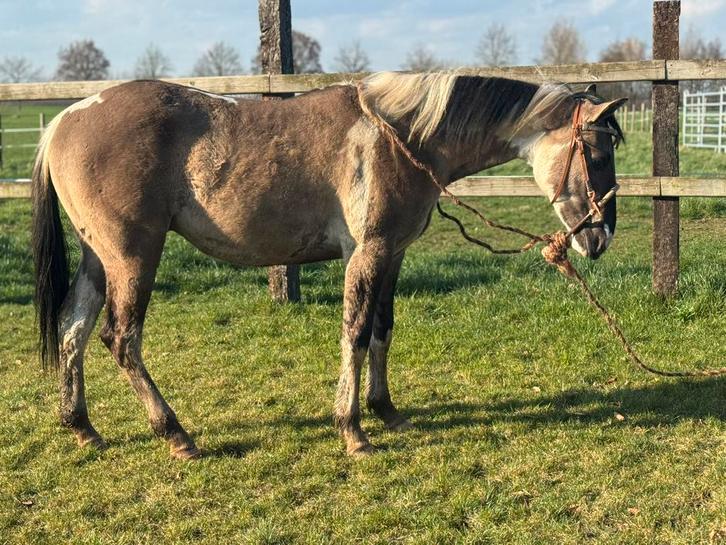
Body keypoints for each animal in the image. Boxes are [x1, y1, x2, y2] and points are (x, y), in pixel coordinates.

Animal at [31, 72, 626, 458]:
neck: (401, 137)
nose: (599, 237)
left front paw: (386, 411)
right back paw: (175, 434)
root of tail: (64, 120)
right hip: (133, 257)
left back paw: (82, 427)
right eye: (597, 155)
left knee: (73, 328)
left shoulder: (393, 254)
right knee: (120, 338)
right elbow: (355, 334)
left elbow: (383, 329)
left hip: (99, 258)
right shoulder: (366, 253)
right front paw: (352, 430)